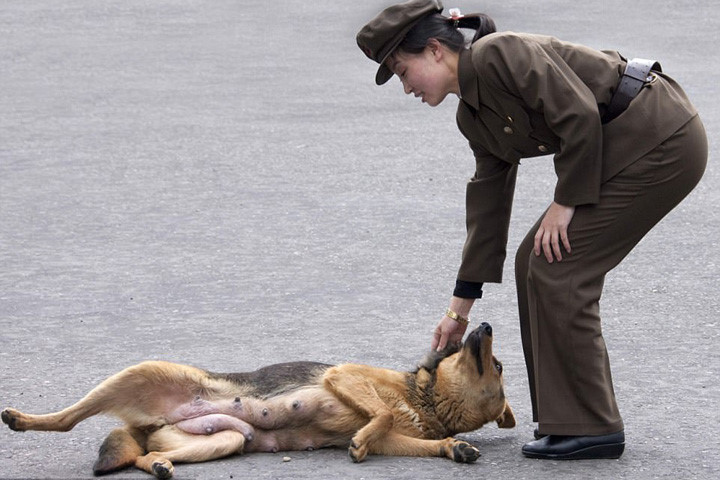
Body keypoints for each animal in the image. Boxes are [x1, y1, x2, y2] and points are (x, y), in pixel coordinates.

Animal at [2, 320, 516, 478]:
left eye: (497, 365)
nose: (484, 322)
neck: (426, 398)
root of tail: (144, 427)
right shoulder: (345, 375)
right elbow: (383, 412)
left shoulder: (395, 441)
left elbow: (401, 435)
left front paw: (455, 447)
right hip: (139, 373)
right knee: (66, 420)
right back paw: (21, 419)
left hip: (223, 440)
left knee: (144, 457)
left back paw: (160, 465)